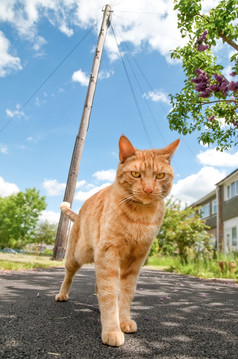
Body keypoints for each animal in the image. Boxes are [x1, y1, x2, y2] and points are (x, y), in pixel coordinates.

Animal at [55, 134, 178, 346]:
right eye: (136, 174)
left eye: (160, 176)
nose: (148, 189)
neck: (141, 217)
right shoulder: (109, 252)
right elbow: (110, 293)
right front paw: (112, 329)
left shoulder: (135, 261)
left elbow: (126, 293)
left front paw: (124, 320)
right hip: (76, 256)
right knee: (69, 275)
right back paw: (63, 294)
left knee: (98, 285)